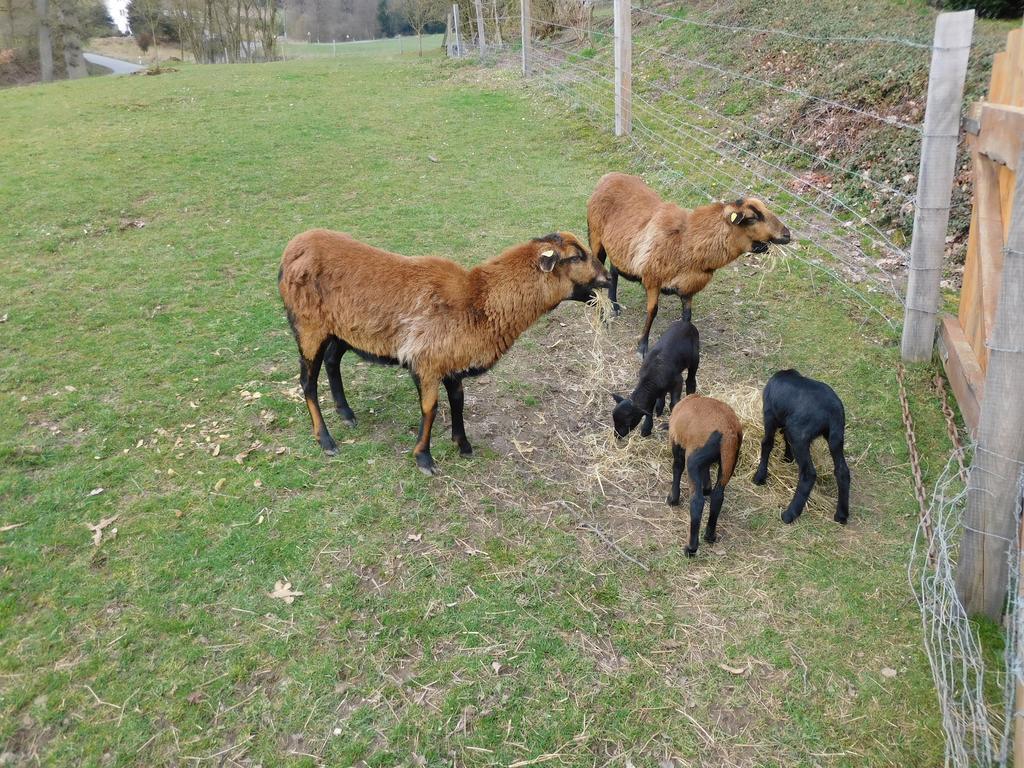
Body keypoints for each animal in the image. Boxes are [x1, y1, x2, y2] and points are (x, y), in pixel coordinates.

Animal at [280, 228, 610, 475]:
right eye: (576, 256)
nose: (607, 278)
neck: (479, 300)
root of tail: (293, 247)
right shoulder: (427, 363)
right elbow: (431, 408)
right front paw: (424, 458)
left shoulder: (453, 364)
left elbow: (458, 402)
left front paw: (463, 446)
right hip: (308, 326)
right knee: (307, 382)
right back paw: (326, 440)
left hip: (342, 329)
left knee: (332, 361)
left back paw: (346, 414)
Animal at [585, 171, 790, 358]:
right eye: (753, 217)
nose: (787, 234)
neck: (687, 241)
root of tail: (609, 176)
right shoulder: (653, 279)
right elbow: (652, 311)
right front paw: (642, 347)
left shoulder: (688, 287)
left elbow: (687, 318)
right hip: (596, 237)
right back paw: (602, 313)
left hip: (619, 248)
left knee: (614, 270)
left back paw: (615, 306)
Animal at [663, 397, 745, 561]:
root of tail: (728, 431)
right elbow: (706, 473)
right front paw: (706, 488)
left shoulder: (677, 442)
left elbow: (677, 467)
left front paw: (673, 499)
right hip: (729, 459)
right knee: (718, 496)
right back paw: (710, 536)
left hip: (693, 458)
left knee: (697, 501)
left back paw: (691, 548)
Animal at [749, 370, 851, 528]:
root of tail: (831, 411)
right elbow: (784, 439)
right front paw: (787, 458)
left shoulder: (769, 415)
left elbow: (767, 443)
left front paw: (759, 476)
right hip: (836, 437)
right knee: (842, 471)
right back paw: (841, 515)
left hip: (799, 434)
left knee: (809, 473)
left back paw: (789, 514)